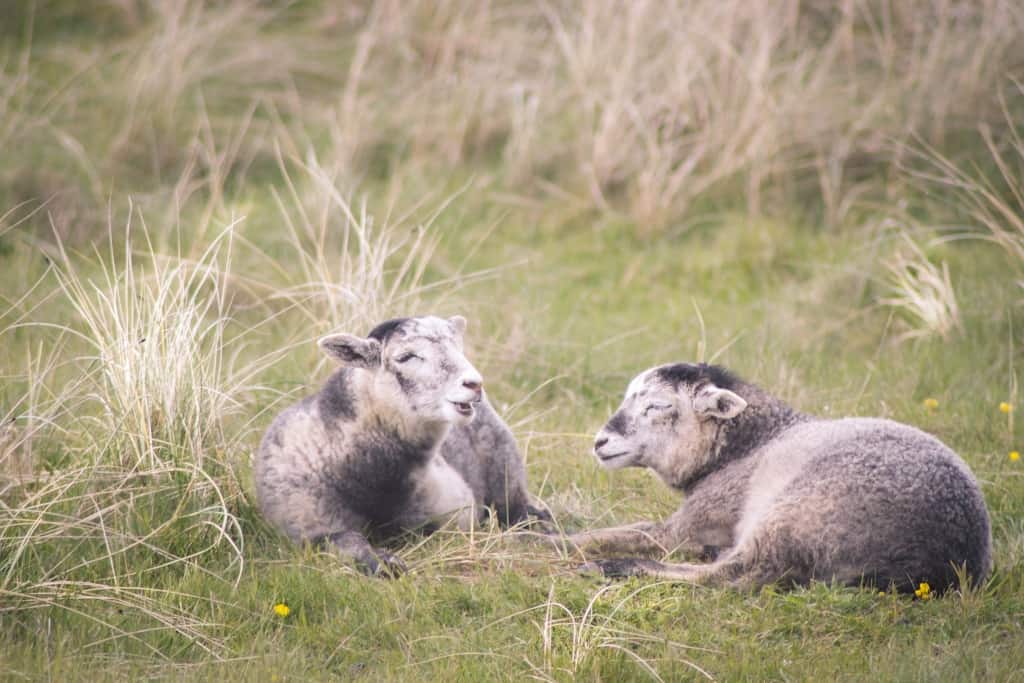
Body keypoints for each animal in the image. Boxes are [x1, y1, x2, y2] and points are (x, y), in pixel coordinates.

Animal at [253, 317, 544, 577]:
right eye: (406, 357)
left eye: (459, 348)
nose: (474, 383)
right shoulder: (306, 526)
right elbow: (345, 540)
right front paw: (382, 561)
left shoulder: (458, 514)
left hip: (504, 465)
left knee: (523, 512)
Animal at [569, 362, 991, 593]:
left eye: (657, 406)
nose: (599, 442)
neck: (750, 443)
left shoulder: (691, 524)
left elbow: (618, 534)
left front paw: (557, 542)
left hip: (796, 516)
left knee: (731, 575)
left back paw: (616, 568)